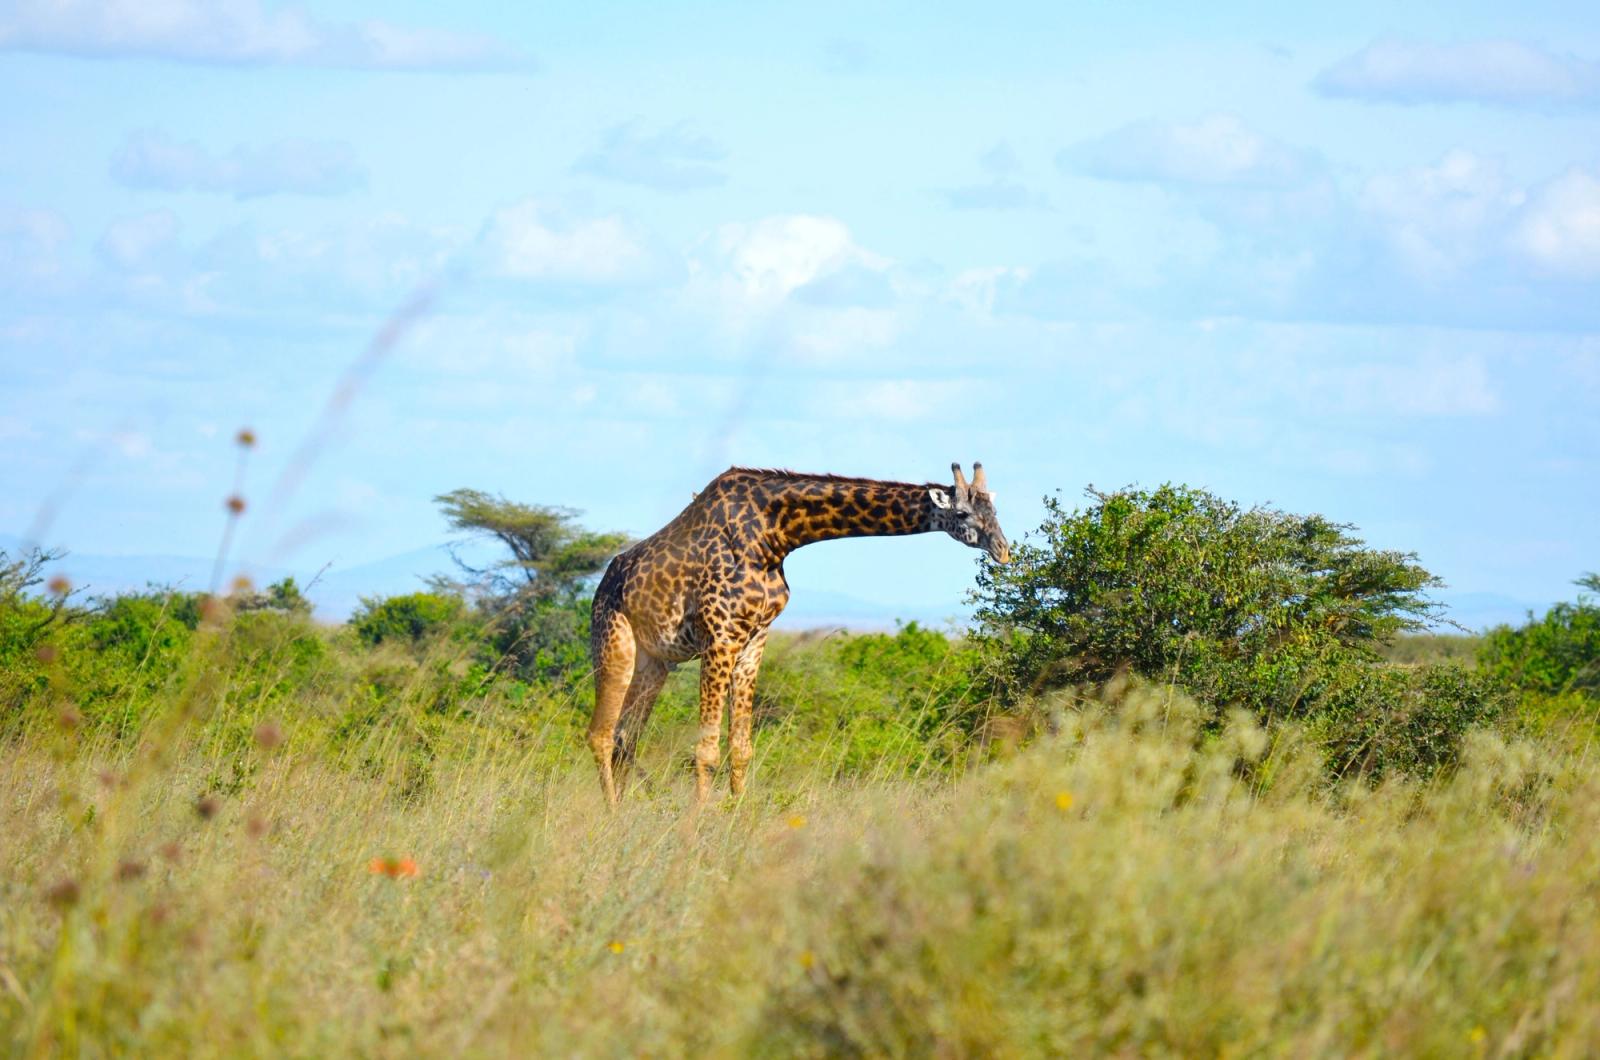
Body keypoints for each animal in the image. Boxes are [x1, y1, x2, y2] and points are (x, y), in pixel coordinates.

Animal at [586, 462, 1010, 805]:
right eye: (962, 512)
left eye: (994, 510)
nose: (1003, 550)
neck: (775, 535)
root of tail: (603, 584)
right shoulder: (720, 637)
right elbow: (706, 750)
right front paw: (695, 831)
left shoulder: (754, 639)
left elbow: (742, 748)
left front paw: (735, 819)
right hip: (614, 644)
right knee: (600, 735)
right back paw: (611, 816)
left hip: (655, 662)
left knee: (625, 738)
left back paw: (625, 811)